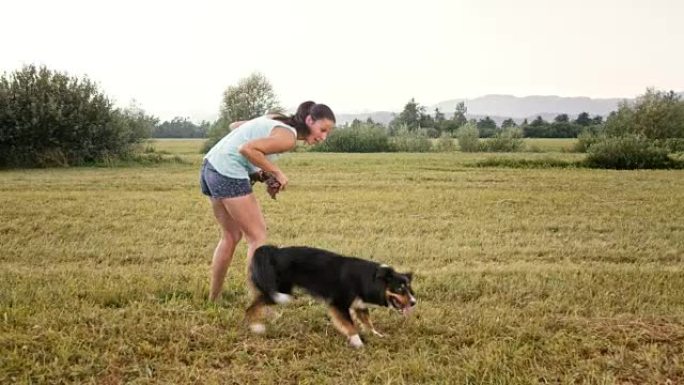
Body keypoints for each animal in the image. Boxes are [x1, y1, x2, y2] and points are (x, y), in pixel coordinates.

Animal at [246, 244, 416, 346]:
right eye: (400, 288)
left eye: (409, 289)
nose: (414, 302)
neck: (370, 278)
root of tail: (275, 251)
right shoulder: (338, 304)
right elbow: (350, 325)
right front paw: (358, 342)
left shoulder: (360, 305)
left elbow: (368, 322)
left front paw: (376, 335)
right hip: (280, 291)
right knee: (251, 307)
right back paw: (256, 327)